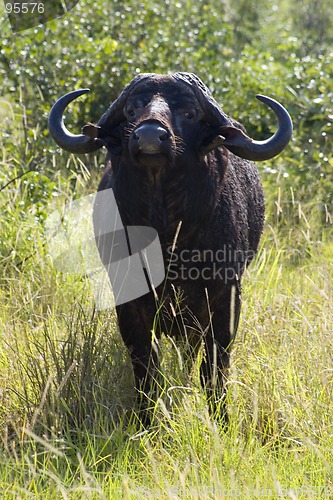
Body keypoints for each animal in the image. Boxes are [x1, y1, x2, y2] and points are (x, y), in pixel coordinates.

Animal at [47, 72, 290, 424]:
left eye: (189, 112)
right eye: (132, 110)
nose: (149, 135)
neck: (166, 237)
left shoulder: (226, 297)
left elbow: (213, 368)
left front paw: (220, 419)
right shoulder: (129, 301)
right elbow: (145, 368)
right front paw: (145, 420)